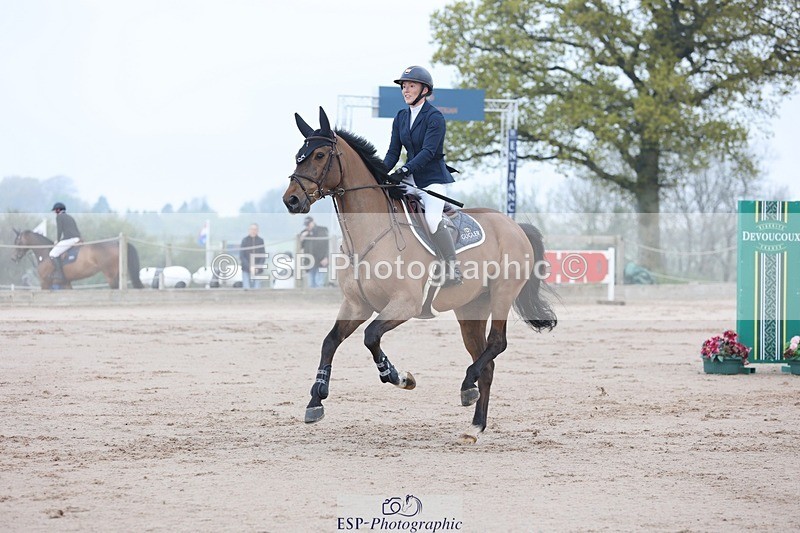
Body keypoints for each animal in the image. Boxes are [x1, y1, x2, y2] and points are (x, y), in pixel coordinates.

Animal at [11, 229, 144, 290]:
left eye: (17, 241)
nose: (13, 258)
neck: (45, 253)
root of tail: (117, 243)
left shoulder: (45, 282)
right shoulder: (65, 283)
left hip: (110, 276)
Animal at [282, 107, 557, 443]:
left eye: (320, 155)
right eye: (299, 156)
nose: (291, 200)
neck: (370, 234)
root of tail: (514, 225)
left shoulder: (405, 304)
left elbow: (370, 336)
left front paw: (397, 376)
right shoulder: (356, 305)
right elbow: (330, 341)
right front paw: (316, 400)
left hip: (502, 293)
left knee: (497, 344)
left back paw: (467, 387)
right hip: (471, 308)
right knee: (486, 361)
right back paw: (474, 424)